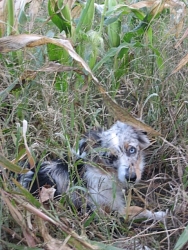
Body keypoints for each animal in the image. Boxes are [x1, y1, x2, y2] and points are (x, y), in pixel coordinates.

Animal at [19, 121, 166, 221]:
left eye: (132, 149)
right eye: (110, 157)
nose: (131, 177)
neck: (104, 171)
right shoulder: (109, 209)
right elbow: (138, 210)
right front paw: (160, 214)